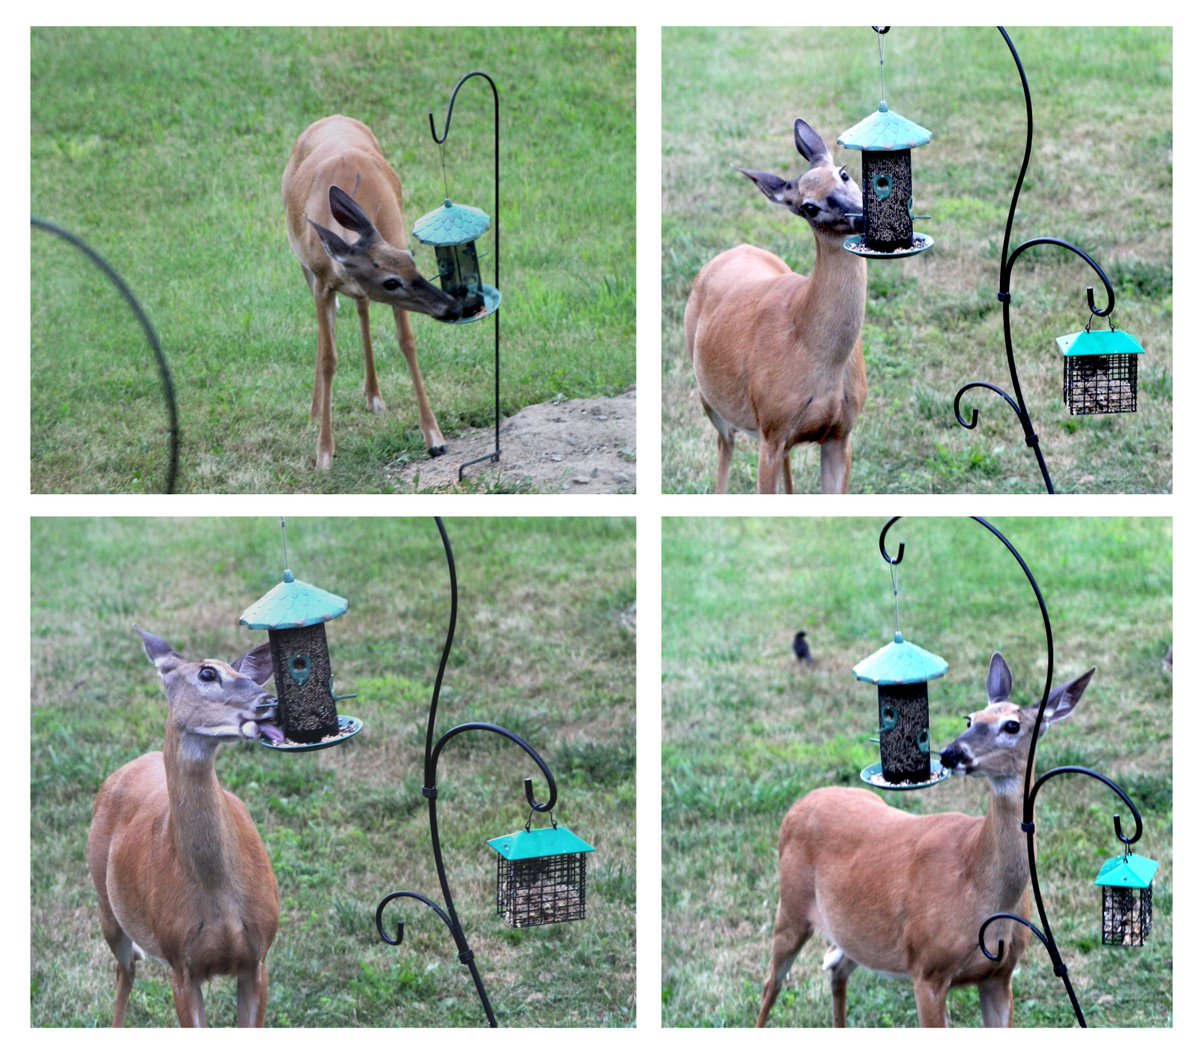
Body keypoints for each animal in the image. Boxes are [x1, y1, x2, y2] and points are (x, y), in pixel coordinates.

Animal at [87, 628, 284, 1026]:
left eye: (247, 675)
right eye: (207, 673)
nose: (269, 701)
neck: (219, 897)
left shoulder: (257, 959)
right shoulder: (181, 964)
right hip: (105, 904)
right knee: (125, 969)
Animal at [283, 114, 465, 470]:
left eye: (412, 258)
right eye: (390, 282)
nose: (451, 306)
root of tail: (331, 117)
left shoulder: (394, 234)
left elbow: (407, 342)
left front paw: (434, 437)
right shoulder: (322, 281)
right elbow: (328, 357)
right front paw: (324, 453)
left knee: (362, 307)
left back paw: (374, 397)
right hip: (304, 269)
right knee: (331, 329)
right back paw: (315, 413)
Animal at [681, 119, 868, 494]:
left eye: (843, 173)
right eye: (808, 206)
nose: (860, 215)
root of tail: (735, 249)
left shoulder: (841, 433)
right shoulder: (771, 429)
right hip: (714, 399)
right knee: (725, 446)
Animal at [758, 657, 1099, 1026]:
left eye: (1011, 726)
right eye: (970, 719)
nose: (951, 753)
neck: (979, 886)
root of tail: (798, 806)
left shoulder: (999, 975)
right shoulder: (927, 969)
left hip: (856, 932)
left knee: (836, 966)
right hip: (791, 906)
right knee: (770, 984)